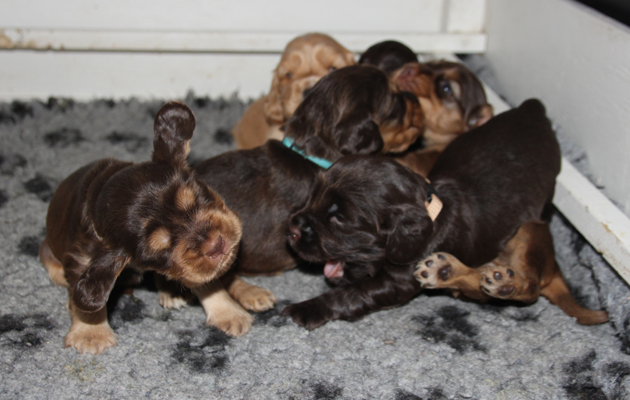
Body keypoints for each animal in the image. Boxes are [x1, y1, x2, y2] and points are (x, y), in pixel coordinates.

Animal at [39, 102, 252, 354]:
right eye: (160, 249)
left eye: (197, 197)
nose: (216, 245)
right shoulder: (82, 257)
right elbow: (87, 295)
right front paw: (90, 334)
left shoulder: (191, 265)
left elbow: (207, 281)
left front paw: (228, 313)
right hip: (48, 246)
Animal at [283, 99, 607, 329]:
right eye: (313, 197)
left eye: (339, 219)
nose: (292, 230)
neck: (431, 209)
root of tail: (533, 108)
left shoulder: (398, 280)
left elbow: (351, 293)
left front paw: (306, 309)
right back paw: (447, 271)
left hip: (529, 231)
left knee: (530, 287)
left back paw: (495, 280)